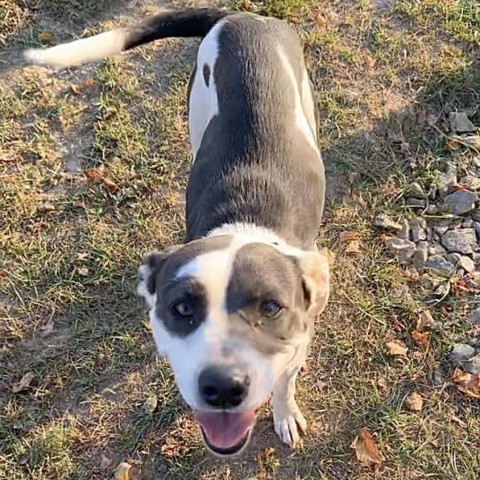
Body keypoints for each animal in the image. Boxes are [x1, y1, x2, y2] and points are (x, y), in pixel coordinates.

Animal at [23, 8, 330, 458]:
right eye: (182, 308)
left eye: (271, 307)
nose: (223, 387)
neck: (242, 222)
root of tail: (239, 15)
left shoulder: (298, 340)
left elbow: (284, 382)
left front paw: (285, 413)